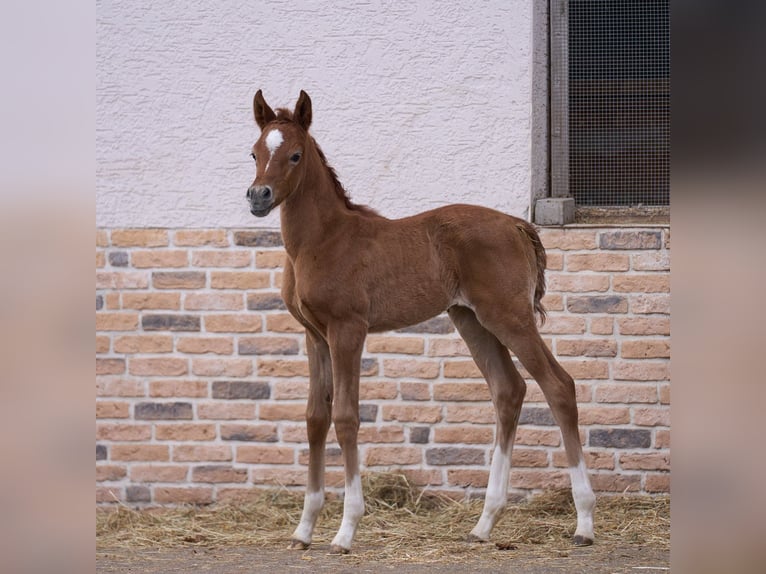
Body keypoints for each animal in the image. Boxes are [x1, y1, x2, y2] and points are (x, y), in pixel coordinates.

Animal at [245, 90, 596, 554]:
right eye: (254, 153)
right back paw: (484, 524)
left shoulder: (347, 330)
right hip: (471, 319)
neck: (322, 240)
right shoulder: (314, 335)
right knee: (509, 390)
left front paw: (345, 531)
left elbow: (346, 416)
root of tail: (519, 224)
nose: (258, 196)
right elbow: (315, 418)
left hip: (509, 317)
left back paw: (584, 523)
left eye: (295, 155)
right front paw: (303, 530)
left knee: (558, 386)